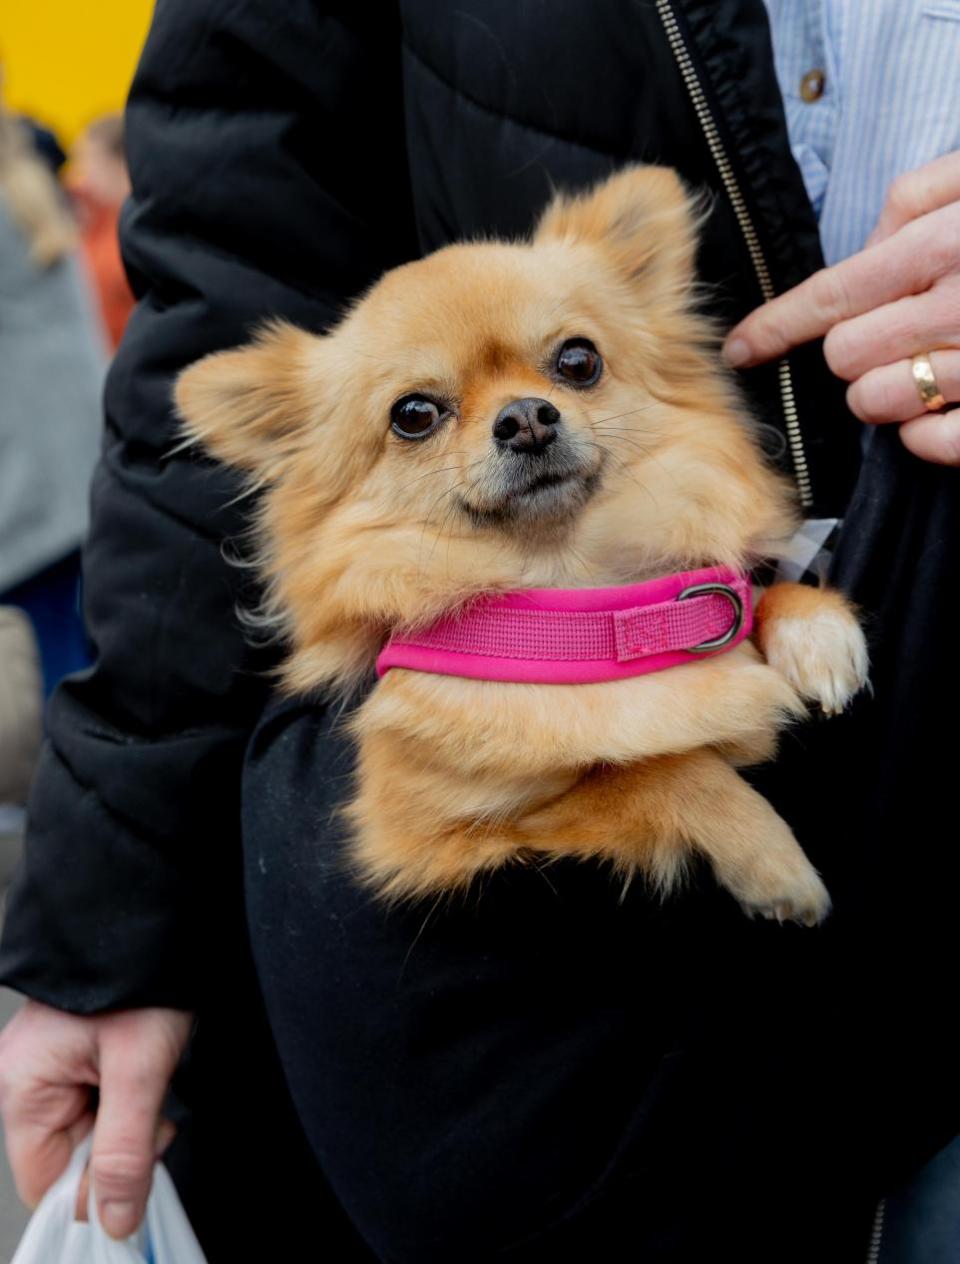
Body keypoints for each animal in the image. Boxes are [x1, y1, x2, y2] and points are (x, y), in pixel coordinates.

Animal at [174, 163, 870, 925]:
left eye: (578, 360)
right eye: (413, 415)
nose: (527, 417)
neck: (580, 617)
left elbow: (751, 598)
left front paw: (814, 628)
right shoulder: (443, 832)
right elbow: (654, 771)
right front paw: (770, 859)